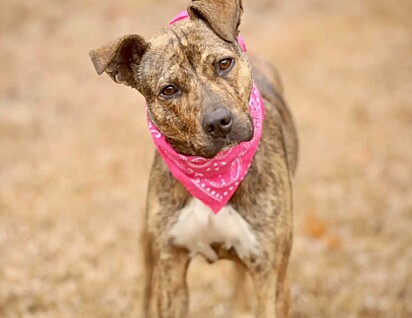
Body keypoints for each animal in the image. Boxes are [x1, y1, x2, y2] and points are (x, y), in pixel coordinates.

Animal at [90, 0, 298, 318]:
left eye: (224, 64)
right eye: (169, 90)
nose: (218, 122)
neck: (214, 173)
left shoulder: (269, 272)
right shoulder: (171, 269)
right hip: (149, 242)